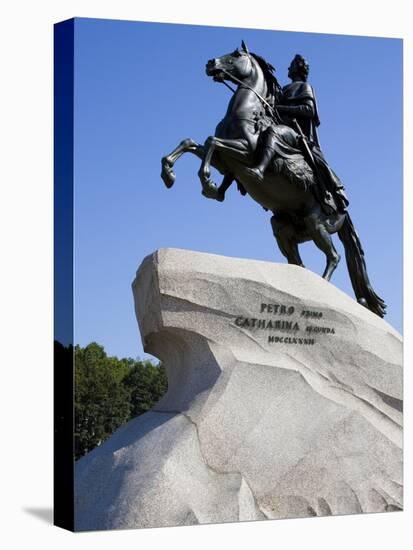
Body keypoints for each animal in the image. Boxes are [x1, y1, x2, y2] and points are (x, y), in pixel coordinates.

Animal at [159, 43, 384, 320]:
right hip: (283, 228)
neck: (246, 111)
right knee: (298, 262)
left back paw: (323, 288)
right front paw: (169, 174)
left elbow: (213, 142)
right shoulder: (225, 161)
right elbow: (190, 143)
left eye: (236, 55)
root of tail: (343, 209)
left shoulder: (245, 151)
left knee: (334, 256)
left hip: (317, 223)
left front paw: (208, 183)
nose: (210, 63)